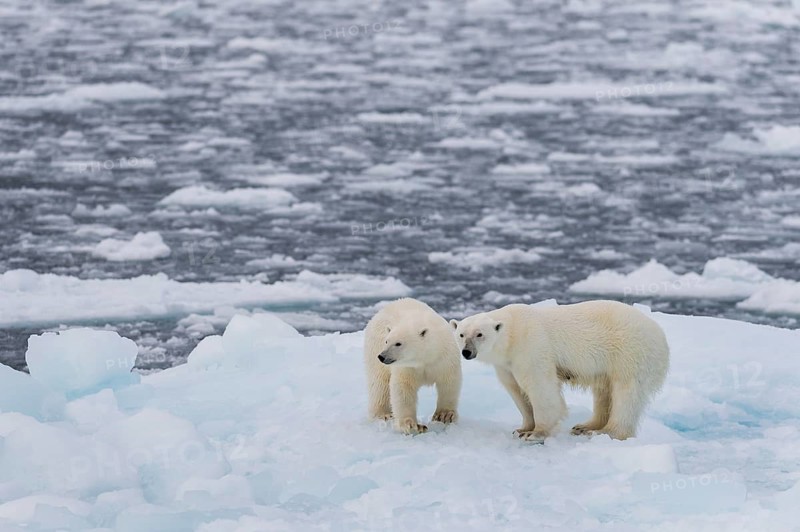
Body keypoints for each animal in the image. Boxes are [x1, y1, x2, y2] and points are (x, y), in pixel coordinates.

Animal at [364, 298, 462, 435]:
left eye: (398, 343)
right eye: (387, 341)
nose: (382, 356)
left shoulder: (444, 358)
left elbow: (449, 382)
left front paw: (444, 416)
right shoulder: (407, 367)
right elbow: (403, 388)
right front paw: (412, 425)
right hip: (374, 346)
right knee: (379, 383)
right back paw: (383, 414)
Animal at [451, 300, 669, 442]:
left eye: (479, 334)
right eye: (461, 334)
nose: (467, 352)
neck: (512, 332)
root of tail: (660, 335)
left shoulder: (531, 347)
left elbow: (540, 388)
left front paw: (535, 433)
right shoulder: (506, 364)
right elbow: (516, 390)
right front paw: (522, 429)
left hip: (630, 353)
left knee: (625, 394)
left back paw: (606, 432)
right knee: (604, 392)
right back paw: (585, 426)